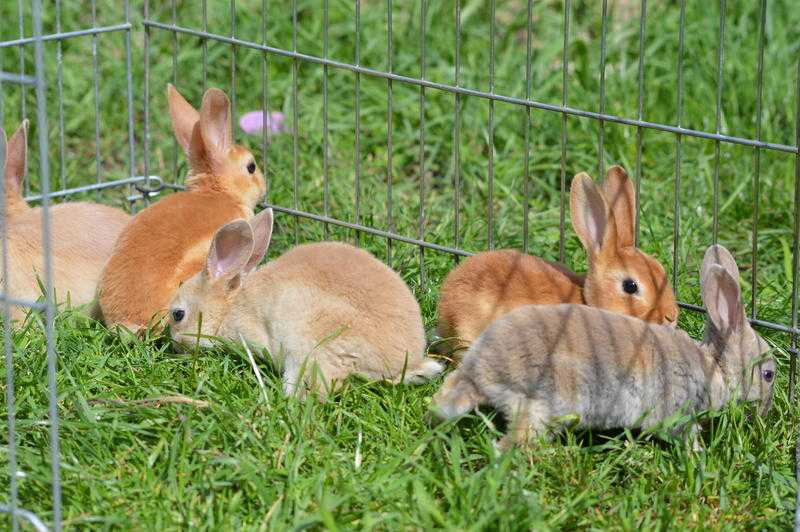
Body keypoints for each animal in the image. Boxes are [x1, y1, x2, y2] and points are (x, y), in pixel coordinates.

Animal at [432, 244, 776, 448]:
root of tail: (482, 373)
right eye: (769, 374)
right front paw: (698, 453)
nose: (765, 411)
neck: (713, 367)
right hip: (544, 404)